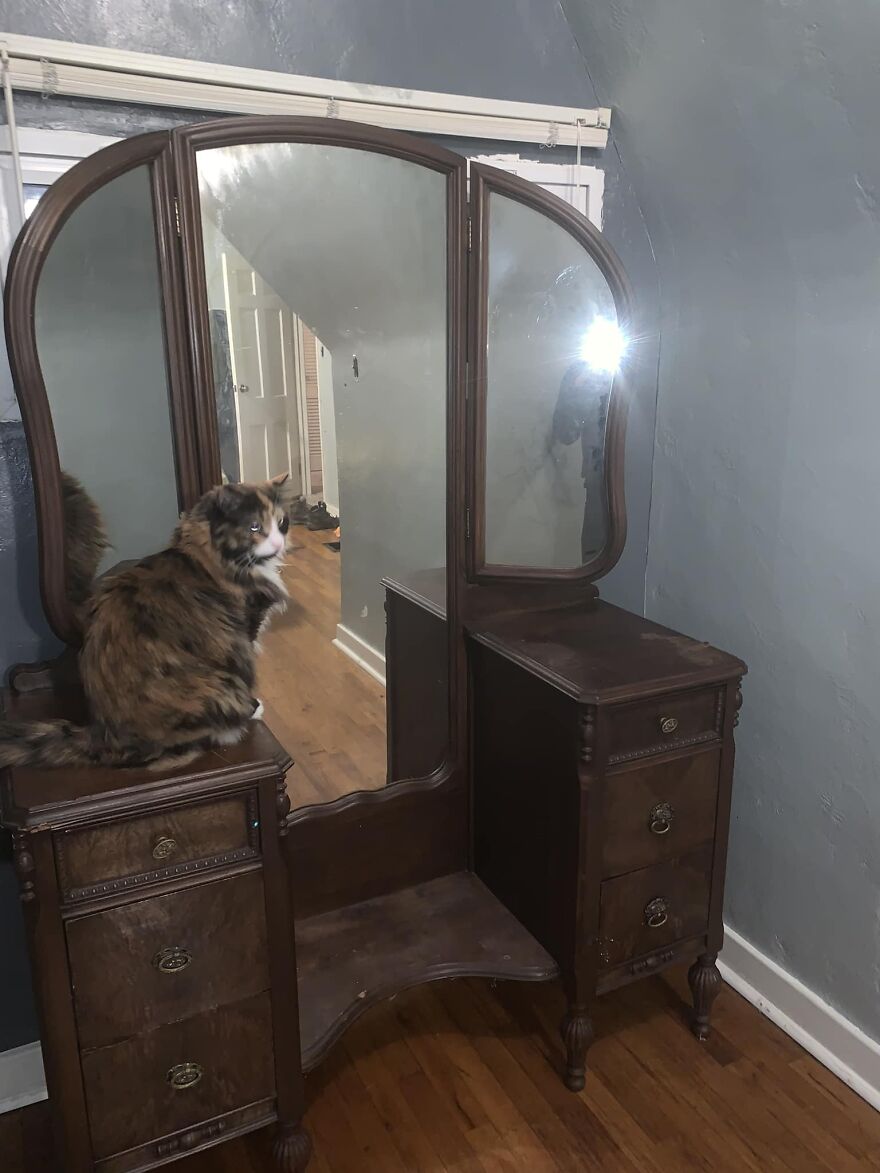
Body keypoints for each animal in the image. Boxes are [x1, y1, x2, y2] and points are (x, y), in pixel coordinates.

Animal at [0, 471, 294, 774]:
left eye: (281, 523)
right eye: (254, 526)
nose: (278, 543)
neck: (206, 556)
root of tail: (103, 735)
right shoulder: (245, 632)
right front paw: (256, 707)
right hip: (216, 686)